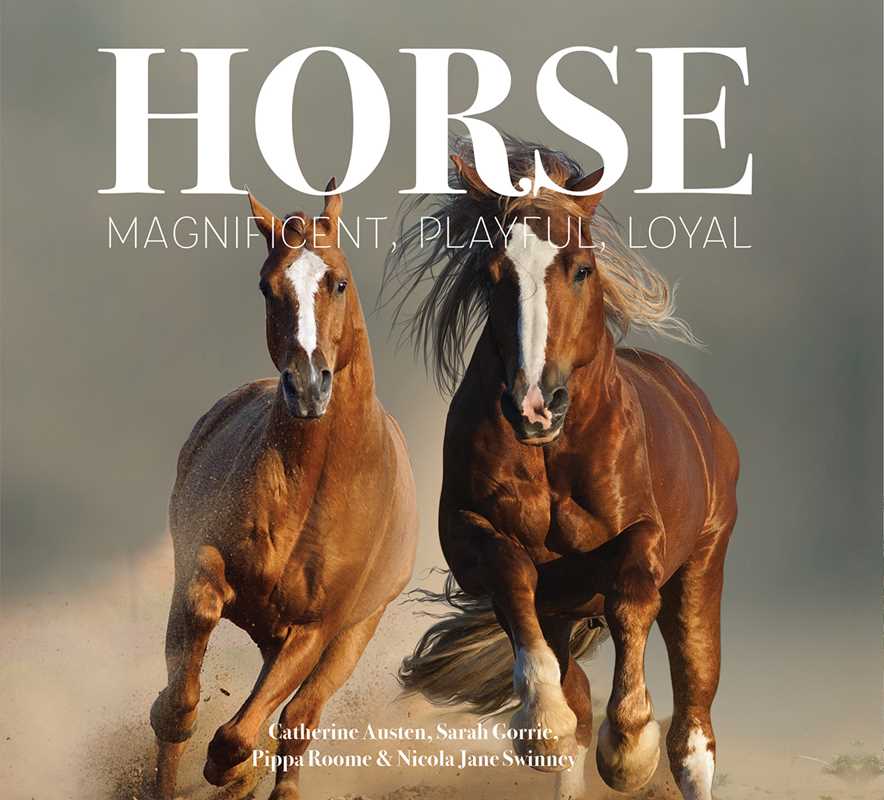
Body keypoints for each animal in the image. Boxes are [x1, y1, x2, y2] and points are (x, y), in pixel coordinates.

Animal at [149, 184, 417, 800]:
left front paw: (234, 770)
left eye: (338, 281)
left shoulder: (315, 630)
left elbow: (242, 735)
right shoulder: (202, 563)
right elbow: (184, 688)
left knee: (298, 721)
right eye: (268, 286)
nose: (309, 385)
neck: (309, 487)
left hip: (352, 636)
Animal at [390, 139, 739, 800]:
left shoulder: (644, 537)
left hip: (701, 570)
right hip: (564, 610)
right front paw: (543, 724)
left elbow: (631, 596)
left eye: (580, 268)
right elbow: (513, 583)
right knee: (574, 696)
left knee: (693, 736)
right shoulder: (476, 538)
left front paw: (628, 748)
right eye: (492, 274)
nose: (534, 405)